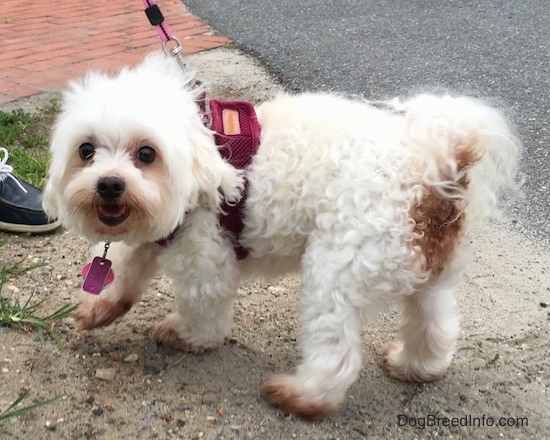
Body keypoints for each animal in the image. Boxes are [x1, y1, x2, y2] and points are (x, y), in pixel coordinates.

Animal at [43, 52, 520, 420]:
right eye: (86, 150)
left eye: (146, 153)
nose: (109, 184)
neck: (204, 152)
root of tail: (435, 170)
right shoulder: (156, 232)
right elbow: (125, 266)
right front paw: (102, 306)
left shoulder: (206, 257)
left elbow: (202, 309)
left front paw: (188, 336)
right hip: (427, 275)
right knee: (436, 322)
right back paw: (417, 365)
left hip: (335, 273)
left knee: (338, 354)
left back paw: (301, 396)